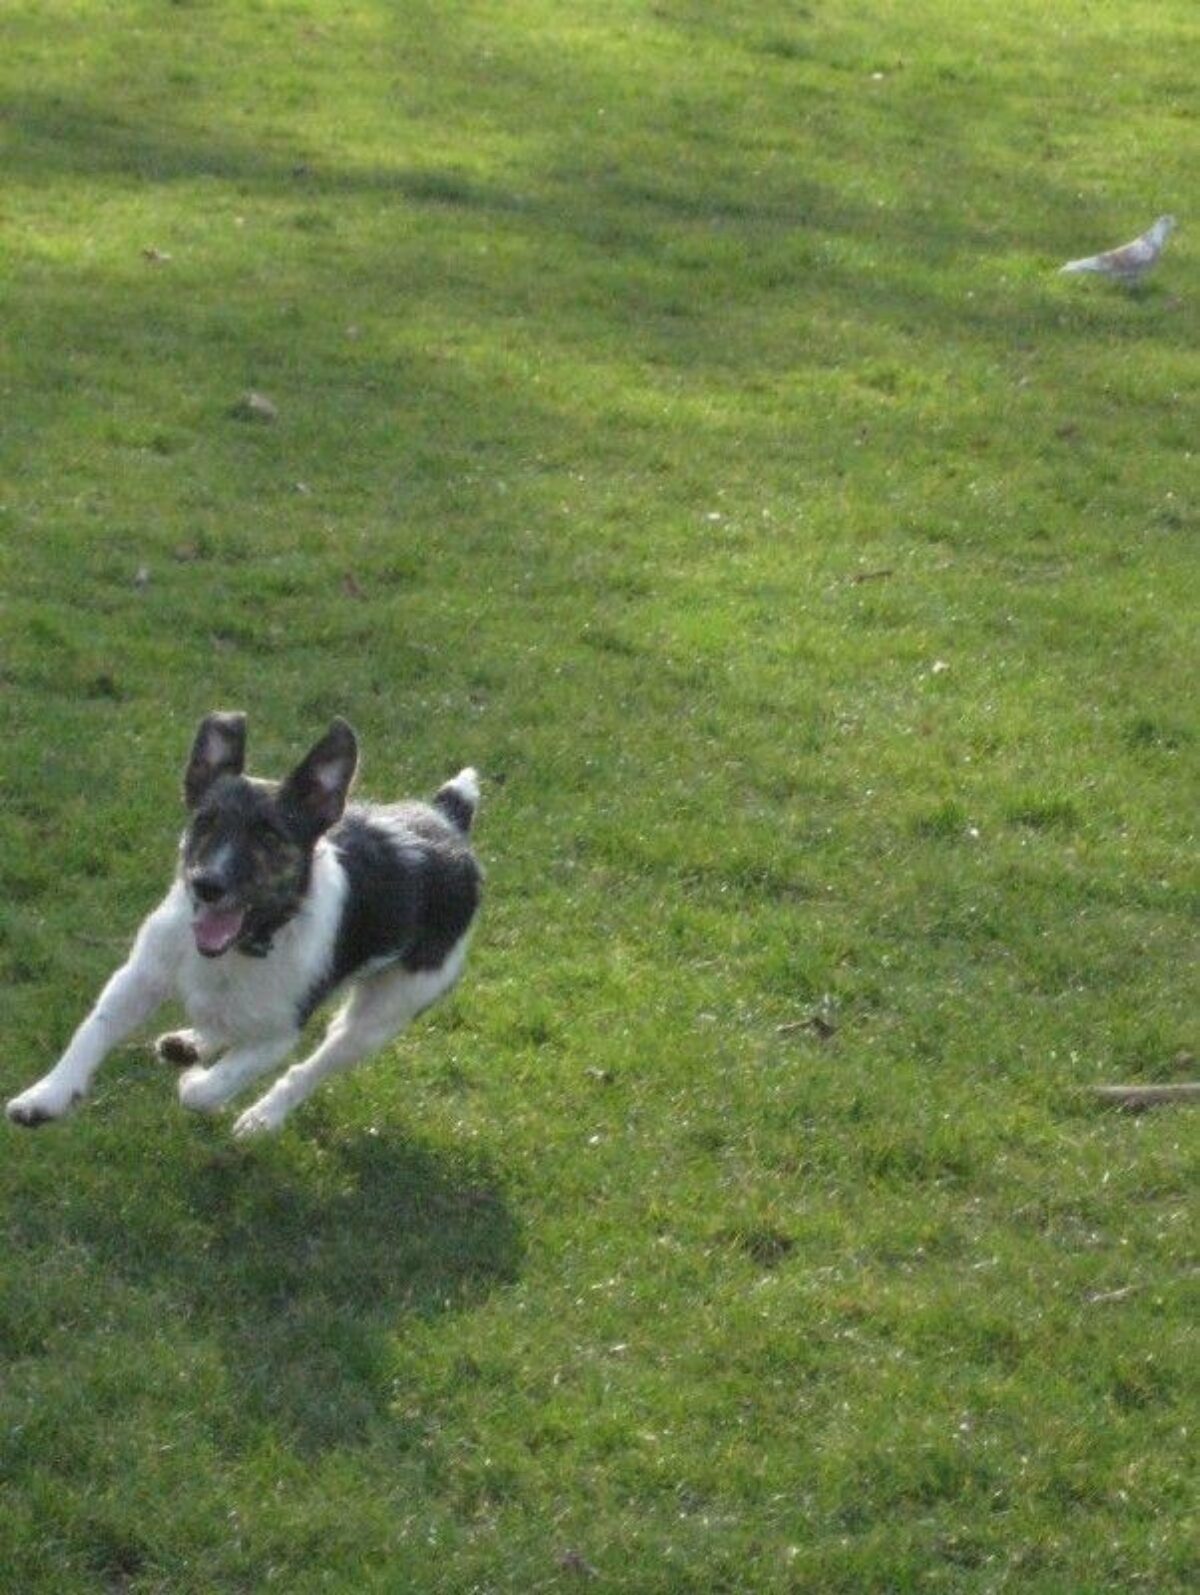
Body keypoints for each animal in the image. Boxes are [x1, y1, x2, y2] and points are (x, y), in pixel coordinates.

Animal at [5, 711, 481, 1135]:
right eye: (204, 822)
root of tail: (447, 820)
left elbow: (211, 1087)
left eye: (269, 836)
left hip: (383, 1013)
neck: (245, 946)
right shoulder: (139, 976)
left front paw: (198, 1082)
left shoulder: (278, 1034)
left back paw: (262, 1116)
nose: (206, 885)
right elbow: (92, 1030)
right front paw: (45, 1096)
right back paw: (192, 1042)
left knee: (311, 1067)